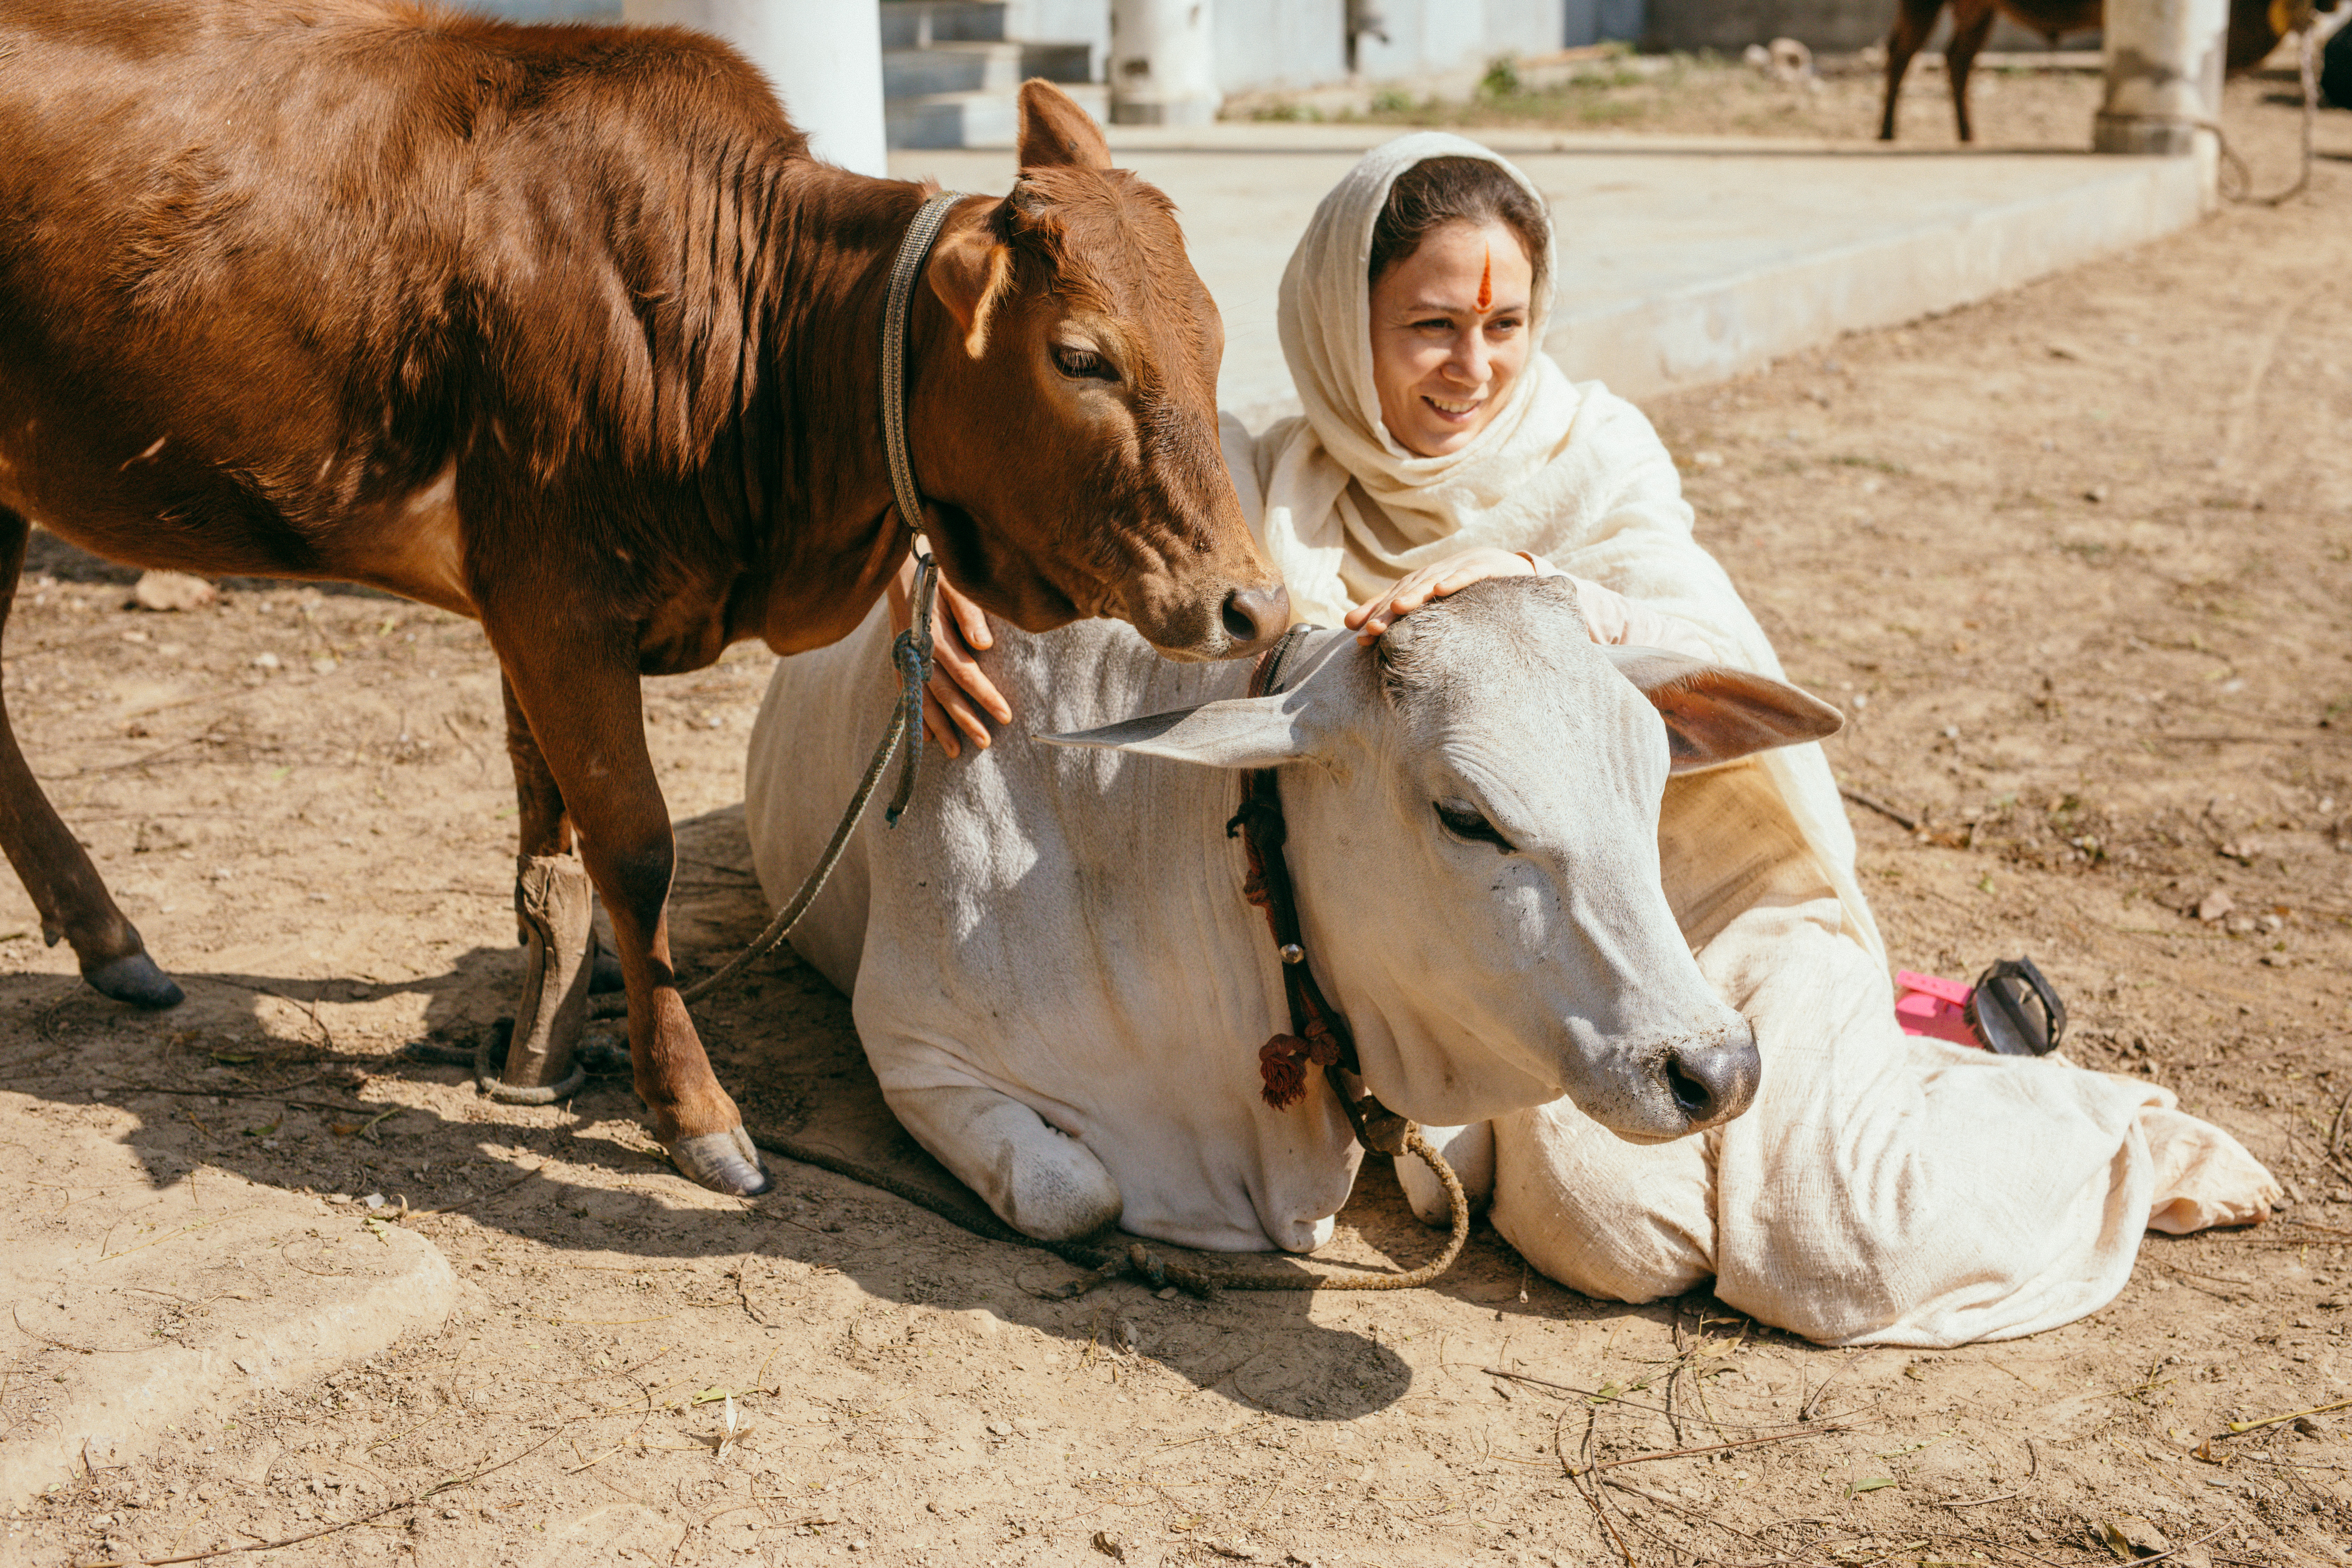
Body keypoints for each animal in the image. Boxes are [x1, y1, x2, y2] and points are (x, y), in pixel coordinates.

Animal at [0, 1, 1287, 1196]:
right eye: (1082, 357)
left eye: (1218, 338)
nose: (1254, 607)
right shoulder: (554, 598)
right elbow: (633, 846)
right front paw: (692, 1109)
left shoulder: (528, 614)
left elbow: (546, 820)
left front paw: (558, 1008)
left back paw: (110, 940)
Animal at [743, 579, 1840, 1251]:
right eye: (1465, 816)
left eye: (1653, 782)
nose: (1716, 1070)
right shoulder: (911, 1046)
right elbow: (1072, 1195)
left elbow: (1465, 1165)